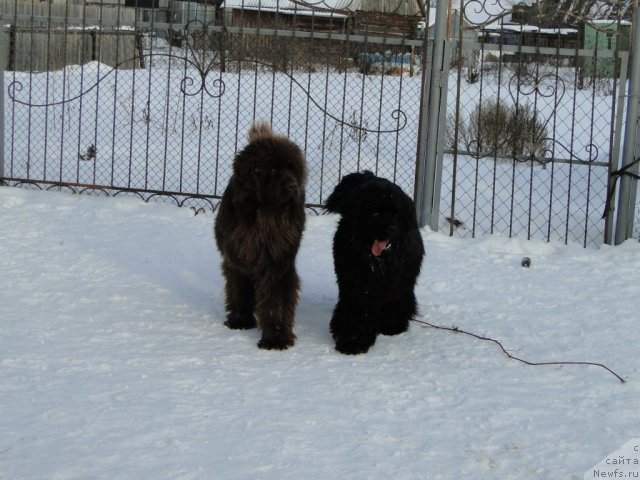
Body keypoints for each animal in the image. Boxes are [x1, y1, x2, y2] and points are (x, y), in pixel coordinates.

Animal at [212, 123, 308, 348]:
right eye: (273, 169)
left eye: (291, 167)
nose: (293, 186)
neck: (263, 215)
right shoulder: (236, 258)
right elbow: (239, 290)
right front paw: (240, 320)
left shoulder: (278, 262)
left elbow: (276, 301)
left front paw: (277, 337)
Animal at [324, 171, 424, 354]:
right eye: (375, 213)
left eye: (396, 214)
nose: (391, 228)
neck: (378, 262)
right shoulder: (357, 286)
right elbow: (358, 311)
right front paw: (352, 340)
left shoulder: (397, 284)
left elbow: (394, 302)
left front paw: (392, 327)